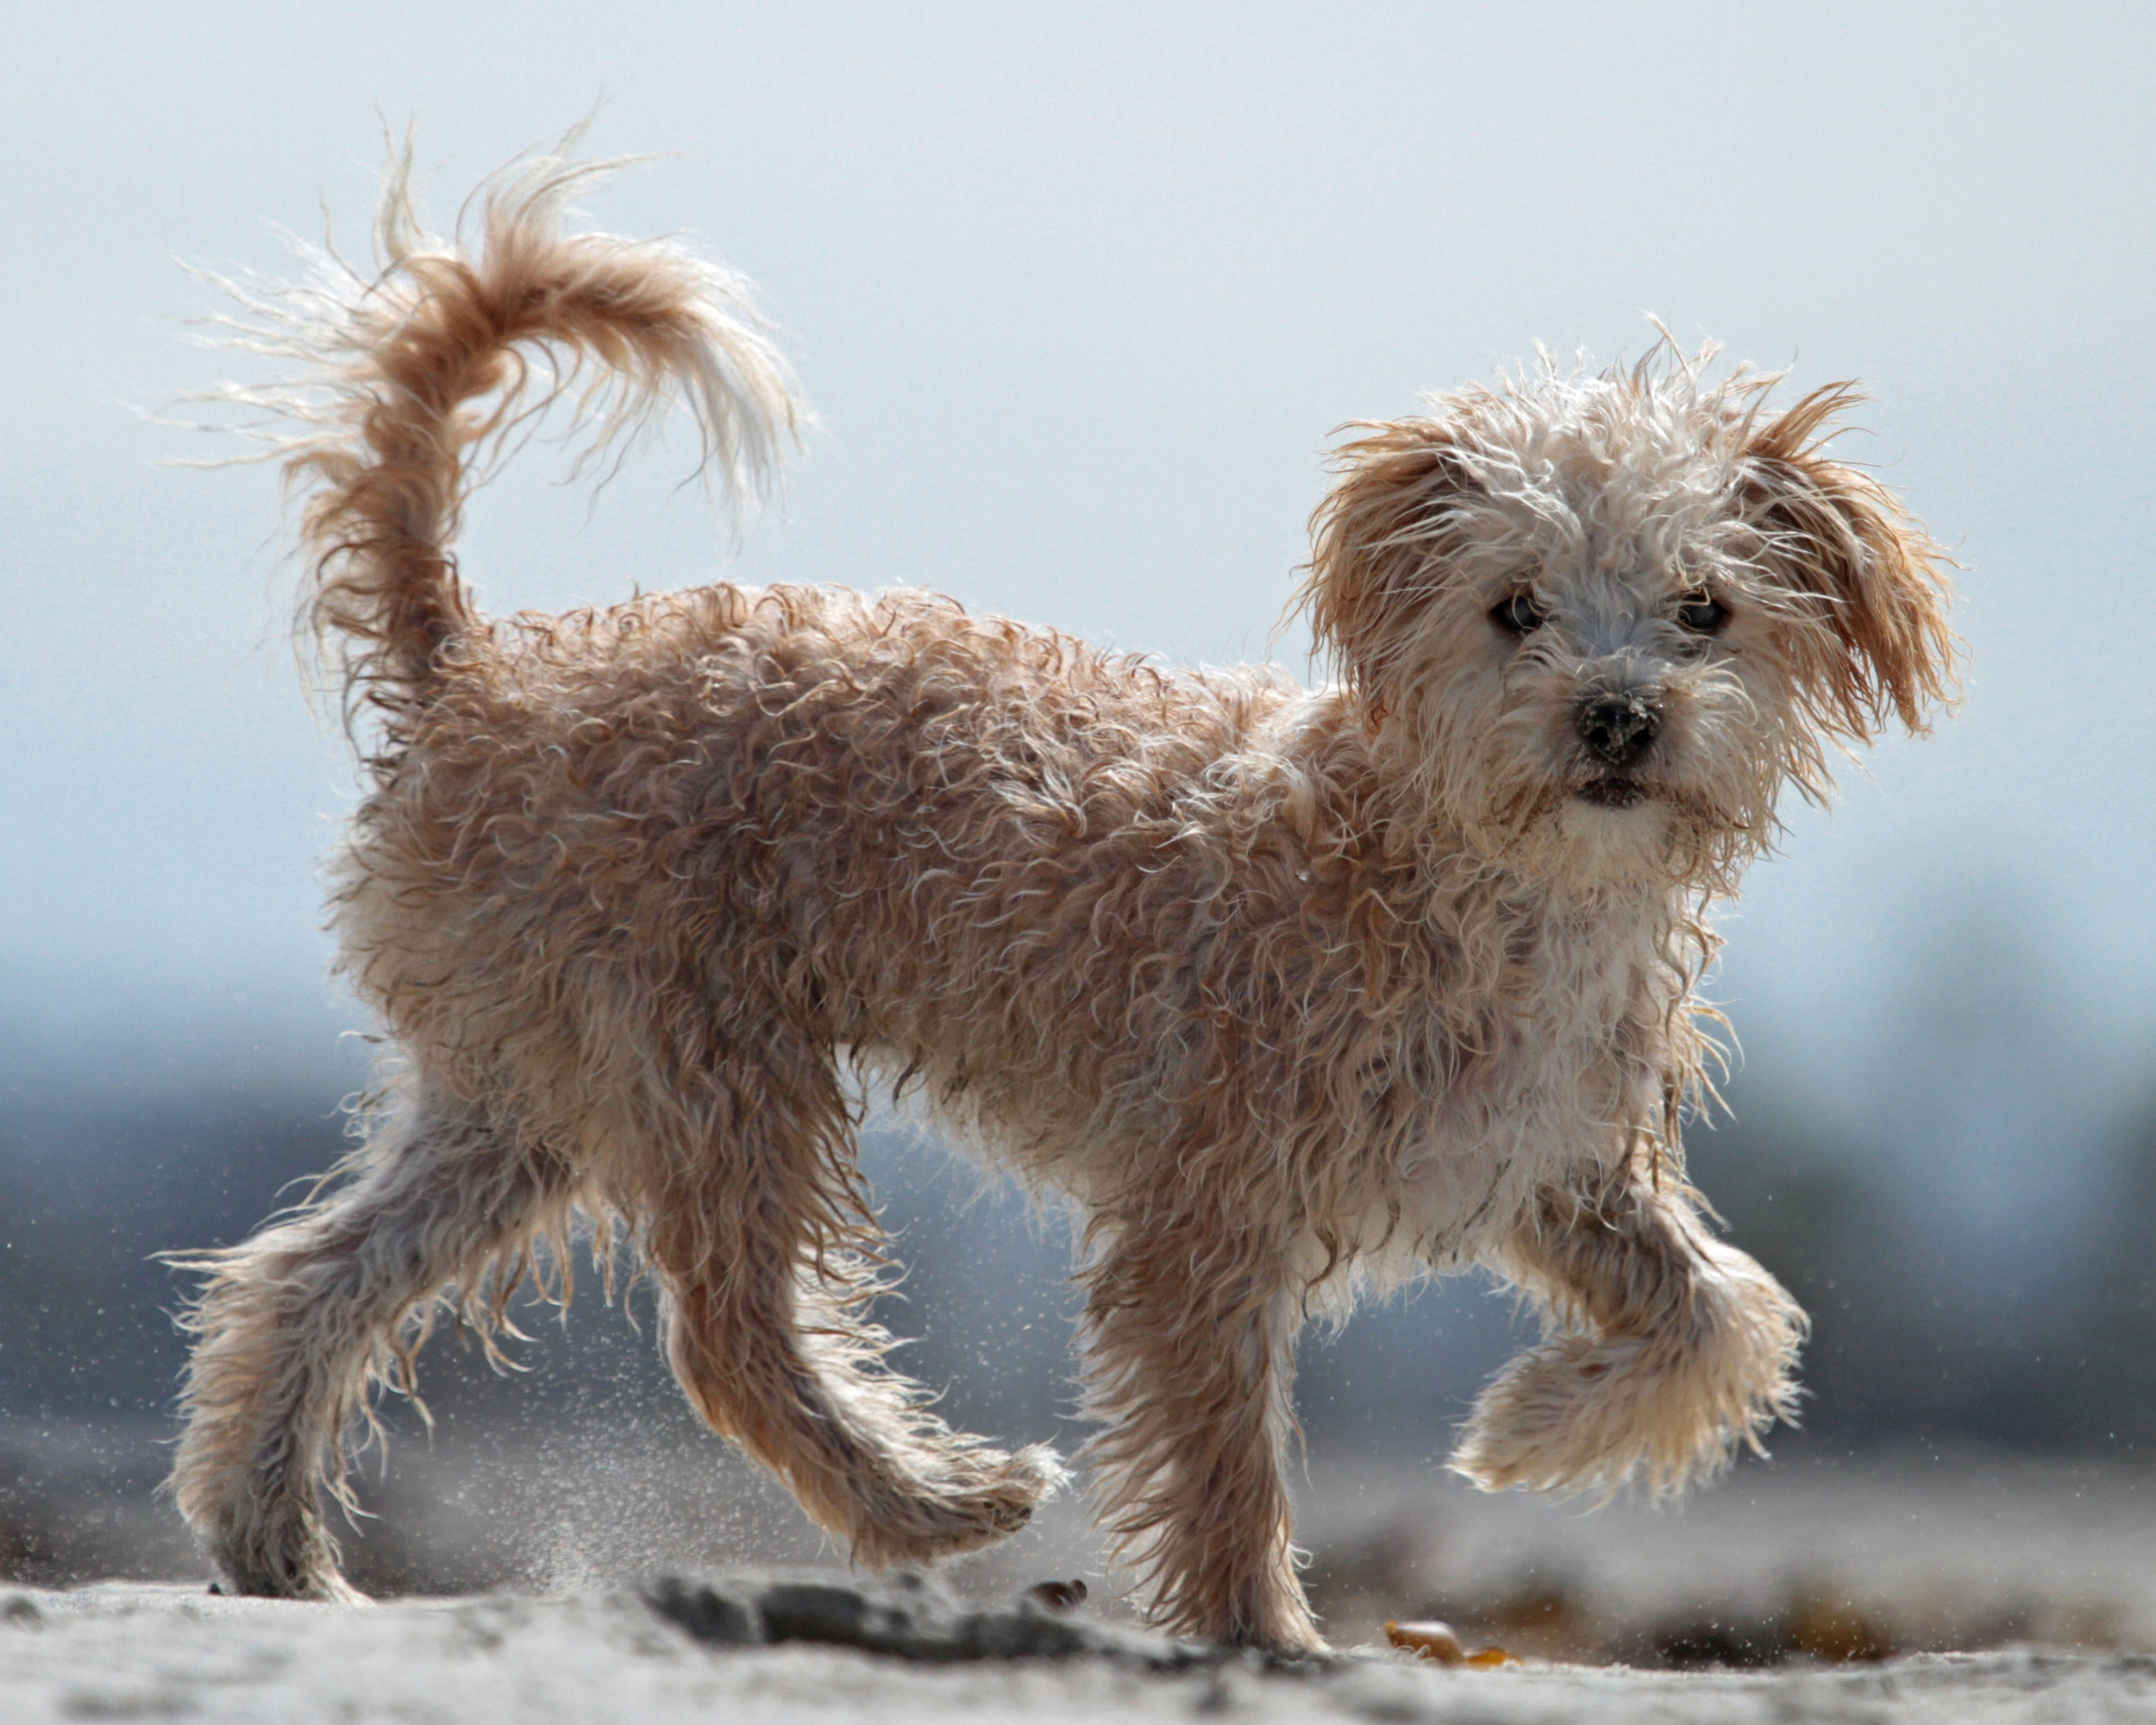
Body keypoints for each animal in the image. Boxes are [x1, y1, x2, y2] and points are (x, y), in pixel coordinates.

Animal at [168, 144, 1958, 1647]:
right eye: (1516, 607)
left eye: (1704, 609)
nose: (1617, 715)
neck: (1472, 881)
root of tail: (473, 663)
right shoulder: (1204, 1210)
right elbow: (1227, 1455)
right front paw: (1262, 1633)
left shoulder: (1554, 1162)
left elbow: (1726, 1312)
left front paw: (1533, 1427)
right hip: (710, 1070)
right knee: (731, 1340)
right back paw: (933, 1503)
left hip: (521, 1094)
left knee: (299, 1285)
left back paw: (275, 1546)